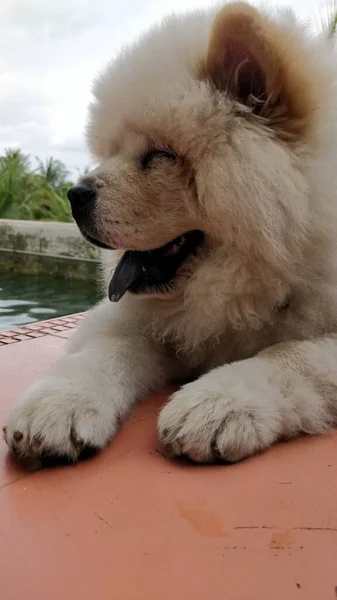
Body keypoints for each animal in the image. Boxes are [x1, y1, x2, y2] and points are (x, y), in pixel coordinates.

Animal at [3, 2, 336, 466]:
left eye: (160, 155)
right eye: (111, 151)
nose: (74, 194)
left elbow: (290, 355)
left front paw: (215, 404)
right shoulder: (139, 322)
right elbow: (105, 350)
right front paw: (57, 405)